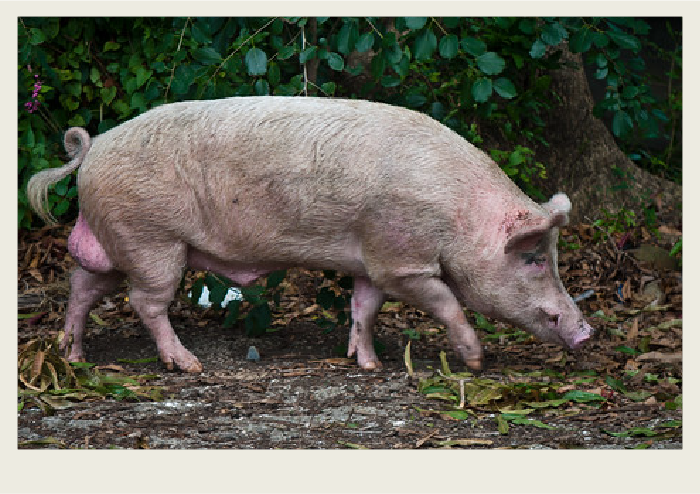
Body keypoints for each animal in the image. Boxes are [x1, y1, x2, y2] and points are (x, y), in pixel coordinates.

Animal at [27, 96, 593, 373]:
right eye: (533, 258)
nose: (587, 331)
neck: (457, 216)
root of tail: (92, 148)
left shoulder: (370, 263)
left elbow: (364, 309)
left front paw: (368, 364)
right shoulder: (401, 260)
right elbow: (448, 303)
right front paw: (475, 363)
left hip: (115, 241)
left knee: (82, 286)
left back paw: (73, 357)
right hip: (152, 241)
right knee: (145, 302)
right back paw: (188, 366)